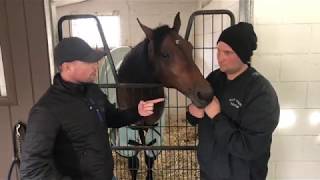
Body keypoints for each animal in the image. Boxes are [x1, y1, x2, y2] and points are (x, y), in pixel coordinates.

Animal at [115, 11, 212, 179]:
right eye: (165, 54)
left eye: (189, 47)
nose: (206, 94)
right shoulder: (129, 131)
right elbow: (133, 162)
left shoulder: (152, 126)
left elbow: (149, 157)